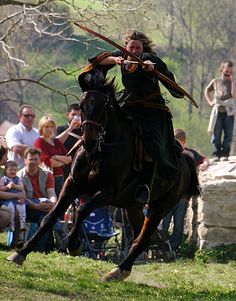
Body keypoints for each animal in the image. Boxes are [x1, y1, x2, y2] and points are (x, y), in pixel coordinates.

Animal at [8, 79, 201, 278]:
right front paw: (21, 252)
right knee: (140, 236)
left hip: (159, 208)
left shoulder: (108, 192)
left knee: (144, 237)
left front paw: (74, 244)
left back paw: (119, 269)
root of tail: (185, 159)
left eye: (103, 106)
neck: (101, 150)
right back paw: (124, 268)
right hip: (133, 206)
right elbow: (50, 217)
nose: (89, 142)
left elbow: (83, 210)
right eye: (82, 106)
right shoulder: (72, 184)